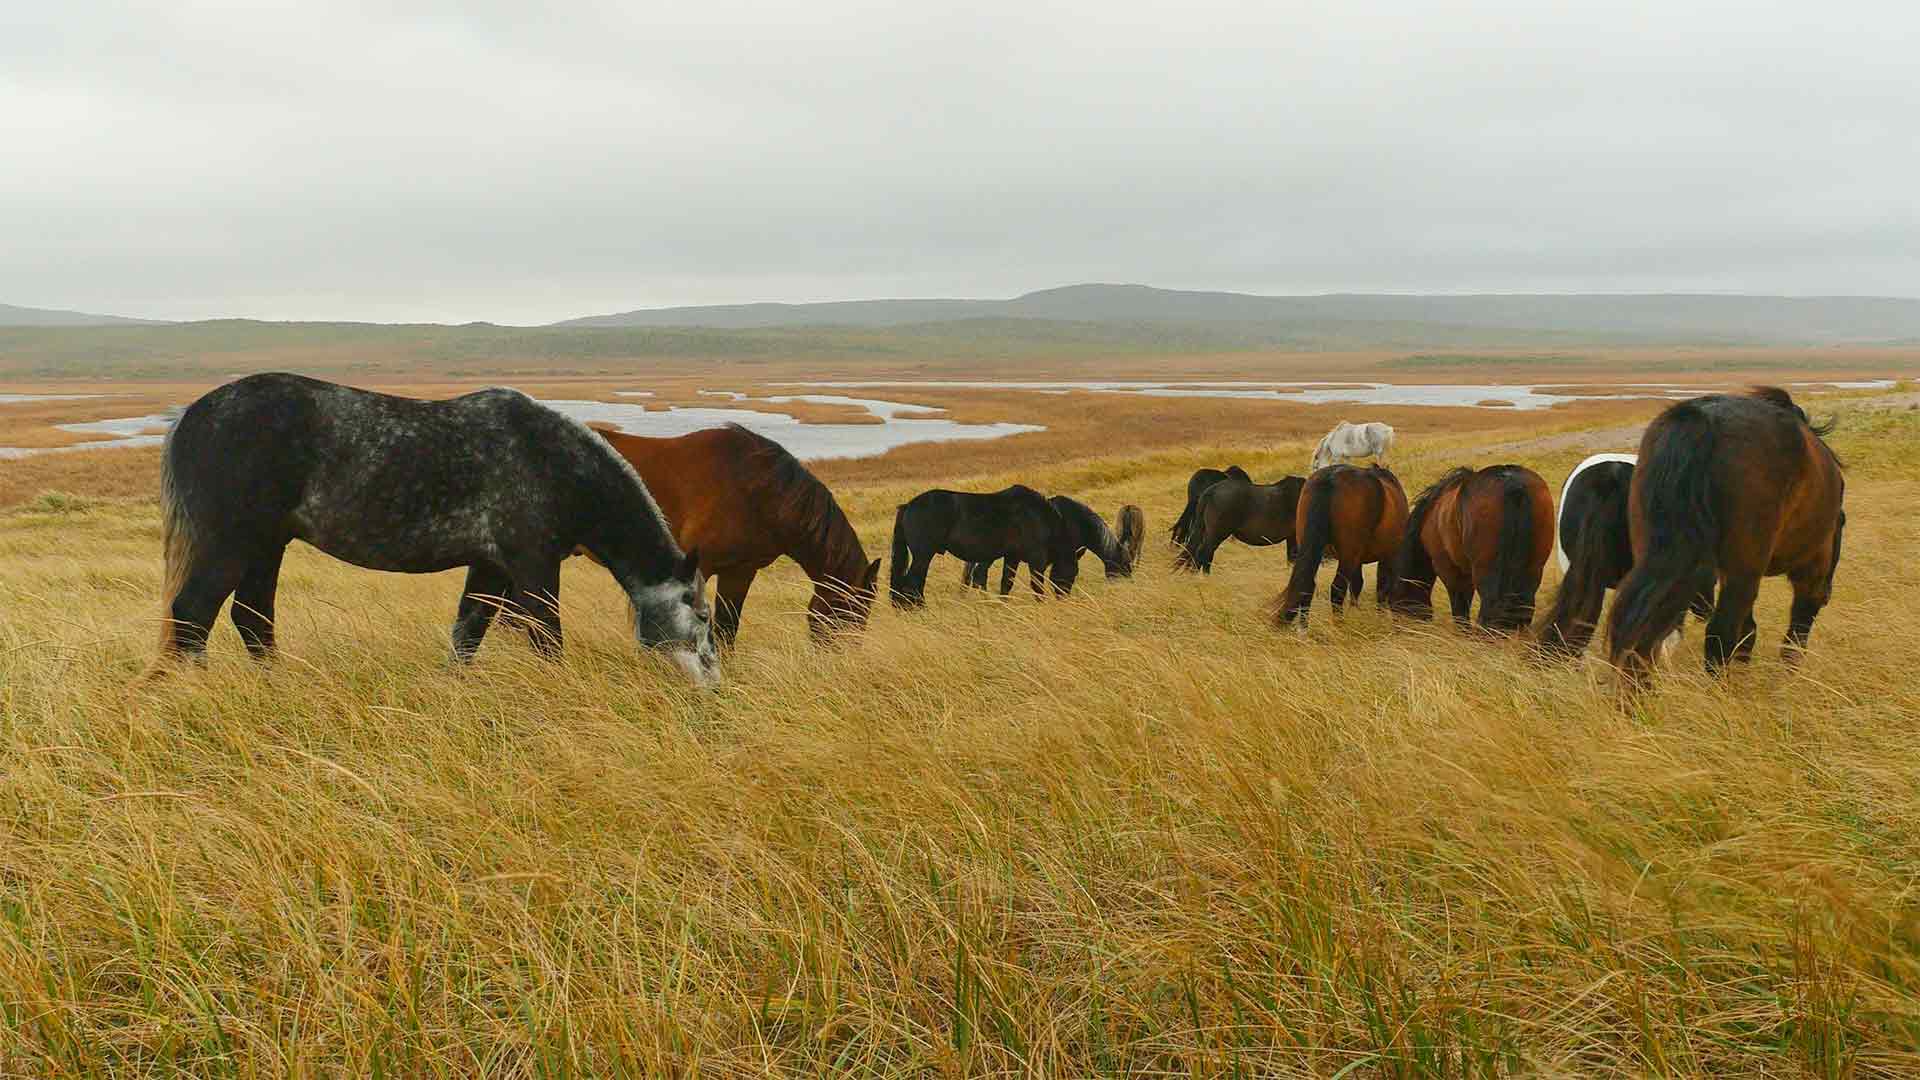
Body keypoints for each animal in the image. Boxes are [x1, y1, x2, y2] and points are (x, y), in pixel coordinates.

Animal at [144, 373, 718, 684]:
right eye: (701, 614)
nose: (714, 684)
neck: (556, 463)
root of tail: (191, 415)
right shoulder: (532, 563)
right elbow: (546, 639)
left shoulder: (489, 567)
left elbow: (468, 633)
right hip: (232, 542)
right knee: (193, 615)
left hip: (267, 544)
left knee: (251, 618)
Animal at [891, 485, 1073, 608]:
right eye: (1073, 573)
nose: (1064, 598)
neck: (1038, 515)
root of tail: (908, 505)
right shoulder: (1037, 559)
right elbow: (1037, 585)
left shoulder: (1012, 557)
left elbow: (1006, 582)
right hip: (923, 556)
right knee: (913, 583)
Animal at [1276, 465, 1408, 626]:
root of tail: (1330, 478)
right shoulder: (1388, 555)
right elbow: (1381, 587)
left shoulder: (1359, 559)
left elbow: (1358, 585)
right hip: (1348, 556)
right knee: (1337, 589)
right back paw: (1339, 624)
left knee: (1306, 588)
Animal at [1608, 387, 1844, 683]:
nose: (1828, 595)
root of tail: (1701, 422)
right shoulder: (1811, 567)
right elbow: (1794, 635)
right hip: (1743, 571)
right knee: (1720, 633)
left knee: (1640, 632)